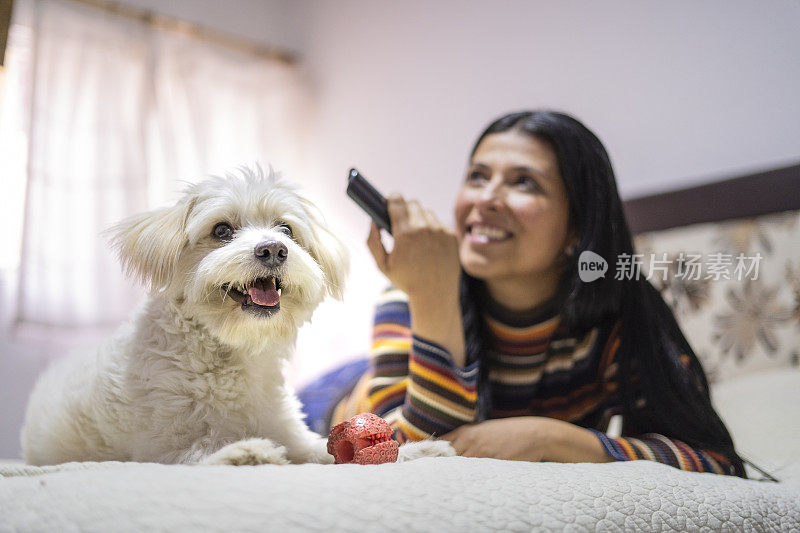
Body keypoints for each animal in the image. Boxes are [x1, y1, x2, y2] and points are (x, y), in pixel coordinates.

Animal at [20, 167, 450, 466]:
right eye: (222, 230)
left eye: (286, 229)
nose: (274, 250)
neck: (230, 352)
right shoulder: (159, 447)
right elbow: (196, 451)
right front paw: (243, 452)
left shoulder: (288, 430)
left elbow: (324, 450)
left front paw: (419, 451)